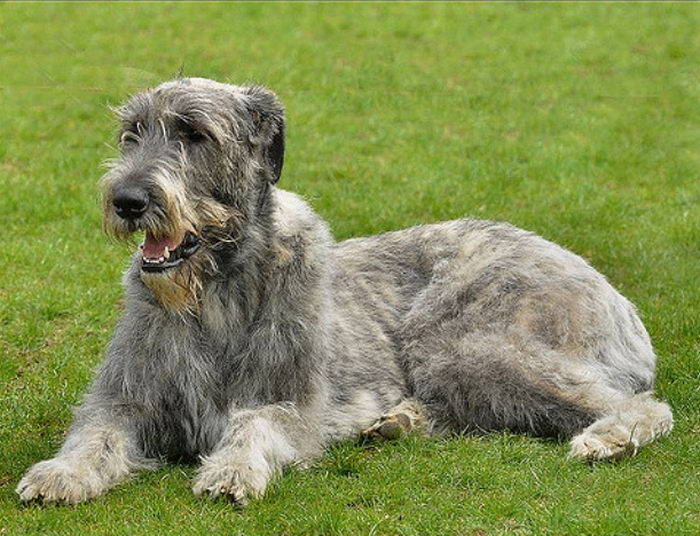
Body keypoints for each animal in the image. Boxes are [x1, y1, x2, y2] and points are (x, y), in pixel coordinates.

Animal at [15, 77, 672, 504]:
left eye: (195, 134)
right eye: (131, 133)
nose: (126, 201)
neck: (214, 295)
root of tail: (616, 297)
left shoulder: (293, 404)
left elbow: (256, 423)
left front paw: (232, 470)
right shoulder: (125, 397)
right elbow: (96, 431)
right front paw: (60, 473)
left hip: (461, 345)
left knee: (644, 404)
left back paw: (607, 436)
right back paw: (398, 419)